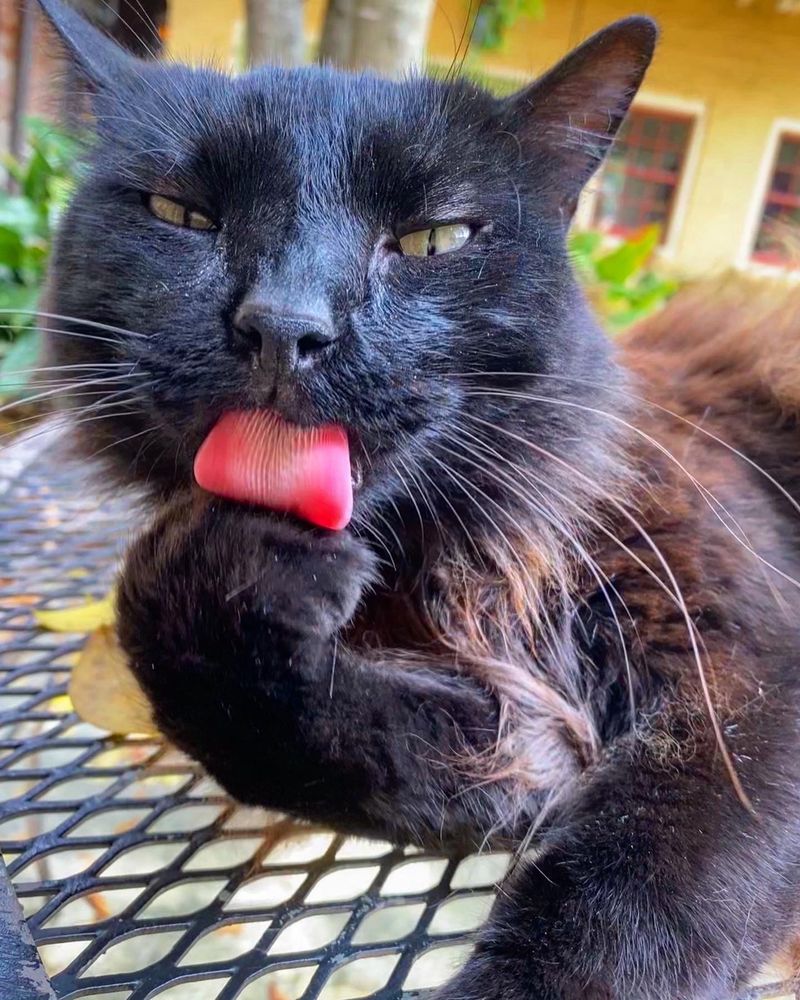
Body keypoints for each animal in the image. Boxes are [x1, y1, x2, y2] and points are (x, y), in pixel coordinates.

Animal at [36, 0, 800, 997]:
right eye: (181, 215)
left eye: (434, 240)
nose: (283, 326)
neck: (428, 560)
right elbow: (268, 723)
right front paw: (239, 572)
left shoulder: (745, 674)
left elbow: (631, 907)